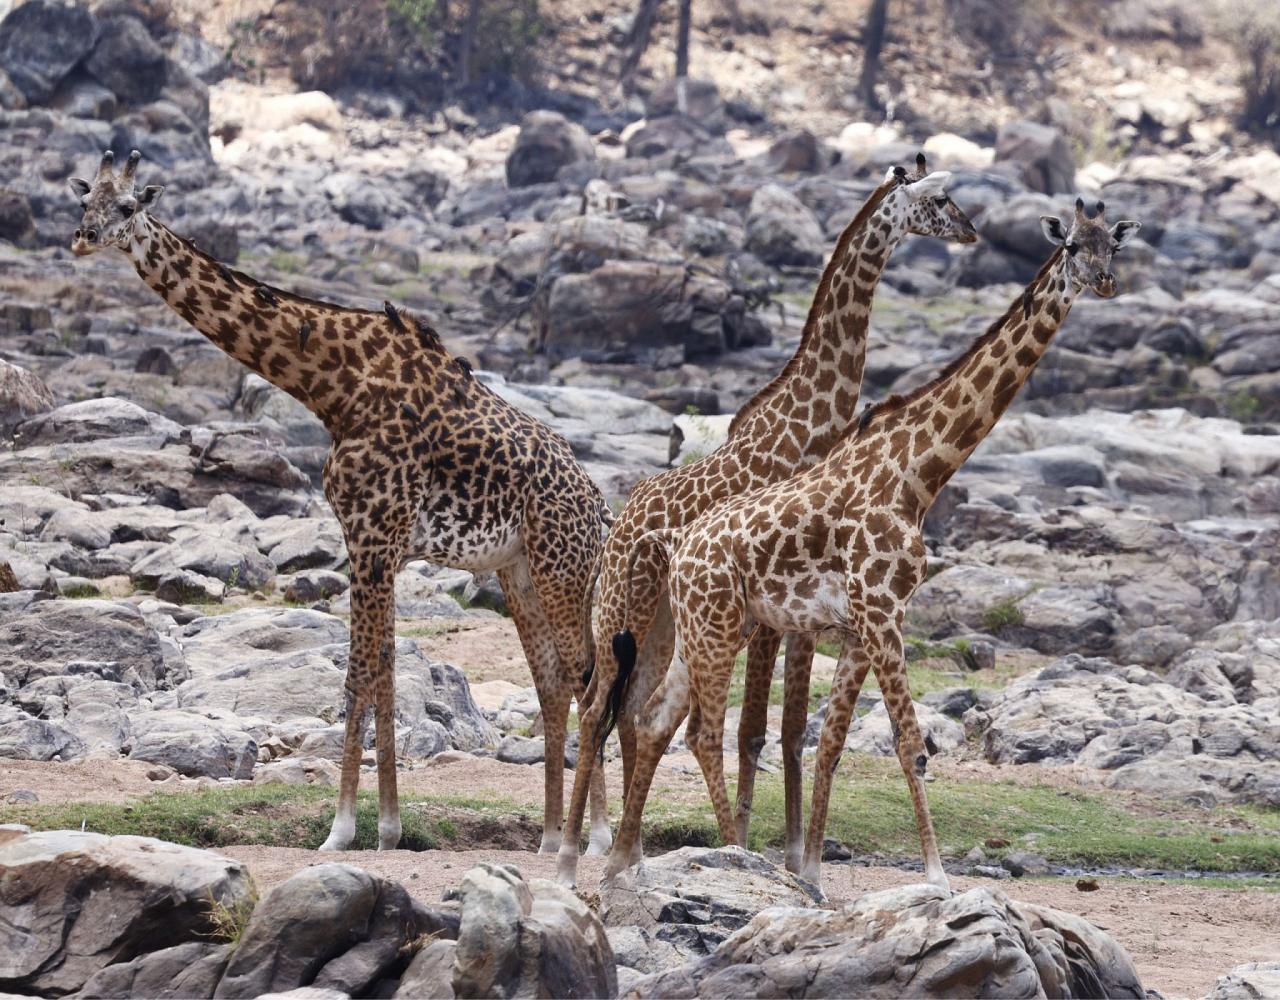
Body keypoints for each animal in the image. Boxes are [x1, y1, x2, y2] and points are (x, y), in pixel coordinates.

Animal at [71, 148, 614, 850]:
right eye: (84, 199)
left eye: (128, 204)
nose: (83, 237)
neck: (333, 387)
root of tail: (598, 506)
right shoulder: (373, 542)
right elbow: (381, 667)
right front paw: (386, 826)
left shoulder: (373, 535)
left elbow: (358, 671)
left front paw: (345, 828)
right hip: (518, 571)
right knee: (552, 682)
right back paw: (551, 836)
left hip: (561, 568)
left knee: (587, 676)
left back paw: (591, 838)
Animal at [552, 154, 977, 880]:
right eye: (942, 199)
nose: (975, 234)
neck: (810, 421)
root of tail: (618, 527)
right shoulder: (783, 611)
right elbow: (759, 728)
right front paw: (761, 851)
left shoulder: (794, 609)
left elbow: (784, 728)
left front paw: (783, 853)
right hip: (625, 614)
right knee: (596, 707)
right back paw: (577, 849)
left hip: (662, 626)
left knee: (630, 711)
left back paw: (621, 852)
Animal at [604, 198, 1146, 886]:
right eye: (1073, 245)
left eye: (1114, 247)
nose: (1104, 282)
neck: (920, 474)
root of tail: (680, 551)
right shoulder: (882, 611)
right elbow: (910, 745)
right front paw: (936, 878)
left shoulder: (867, 623)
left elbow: (831, 741)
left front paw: (813, 875)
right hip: (712, 625)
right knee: (694, 730)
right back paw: (727, 855)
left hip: (707, 628)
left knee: (651, 719)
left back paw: (623, 864)